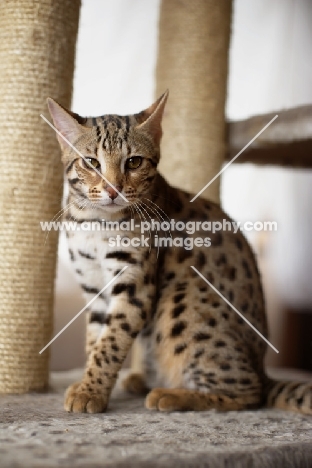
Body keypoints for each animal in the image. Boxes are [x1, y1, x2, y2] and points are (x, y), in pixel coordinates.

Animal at [47, 93, 312, 414]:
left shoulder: (134, 284)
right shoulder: (93, 285)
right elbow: (95, 341)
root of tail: (262, 368)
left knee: (251, 393)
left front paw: (90, 391)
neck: (94, 223)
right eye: (91, 162)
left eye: (134, 161)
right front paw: (88, 384)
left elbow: (110, 343)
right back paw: (142, 380)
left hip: (183, 299)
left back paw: (170, 395)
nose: (113, 190)